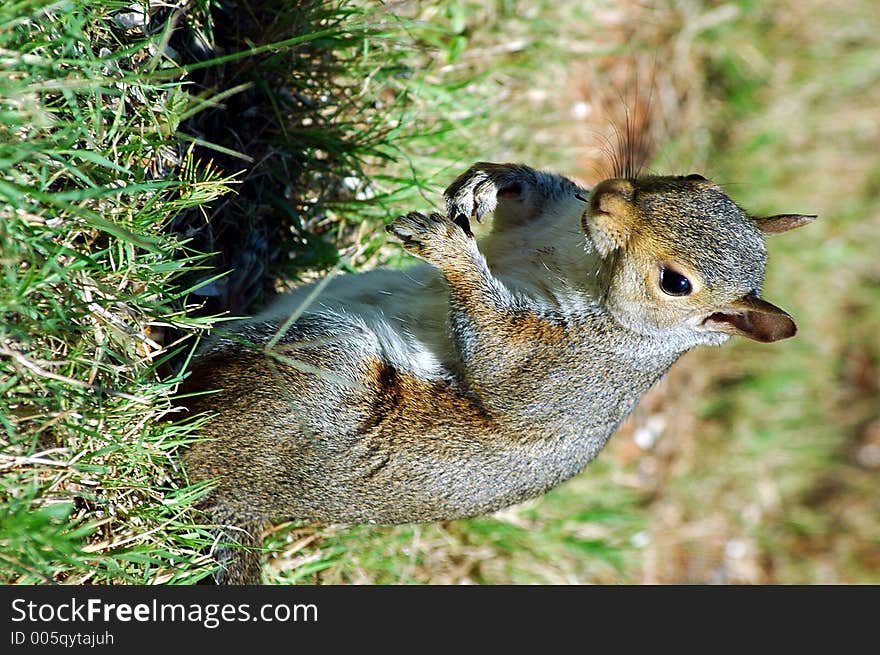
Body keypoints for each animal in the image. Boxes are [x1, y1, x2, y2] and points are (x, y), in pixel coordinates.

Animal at [179, 159, 820, 584]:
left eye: (676, 283)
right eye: (696, 180)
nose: (608, 197)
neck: (578, 252)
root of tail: (235, 497)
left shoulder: (567, 370)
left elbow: (499, 363)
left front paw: (451, 249)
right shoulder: (547, 220)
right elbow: (526, 198)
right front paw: (491, 179)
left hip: (325, 362)